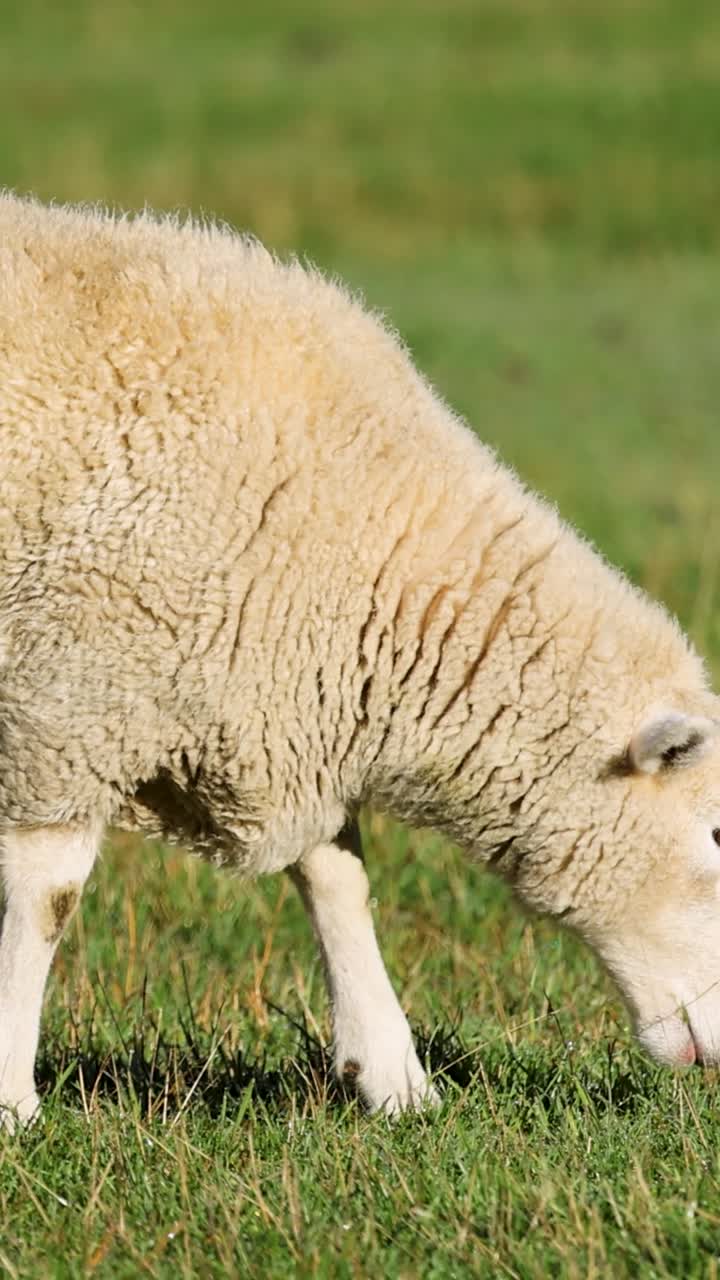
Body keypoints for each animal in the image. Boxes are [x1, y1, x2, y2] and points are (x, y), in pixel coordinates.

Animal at [1, 190, 720, 1127]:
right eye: (717, 831)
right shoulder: (73, 702)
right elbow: (47, 902)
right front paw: (12, 1099)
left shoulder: (280, 701)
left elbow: (337, 876)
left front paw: (392, 1075)